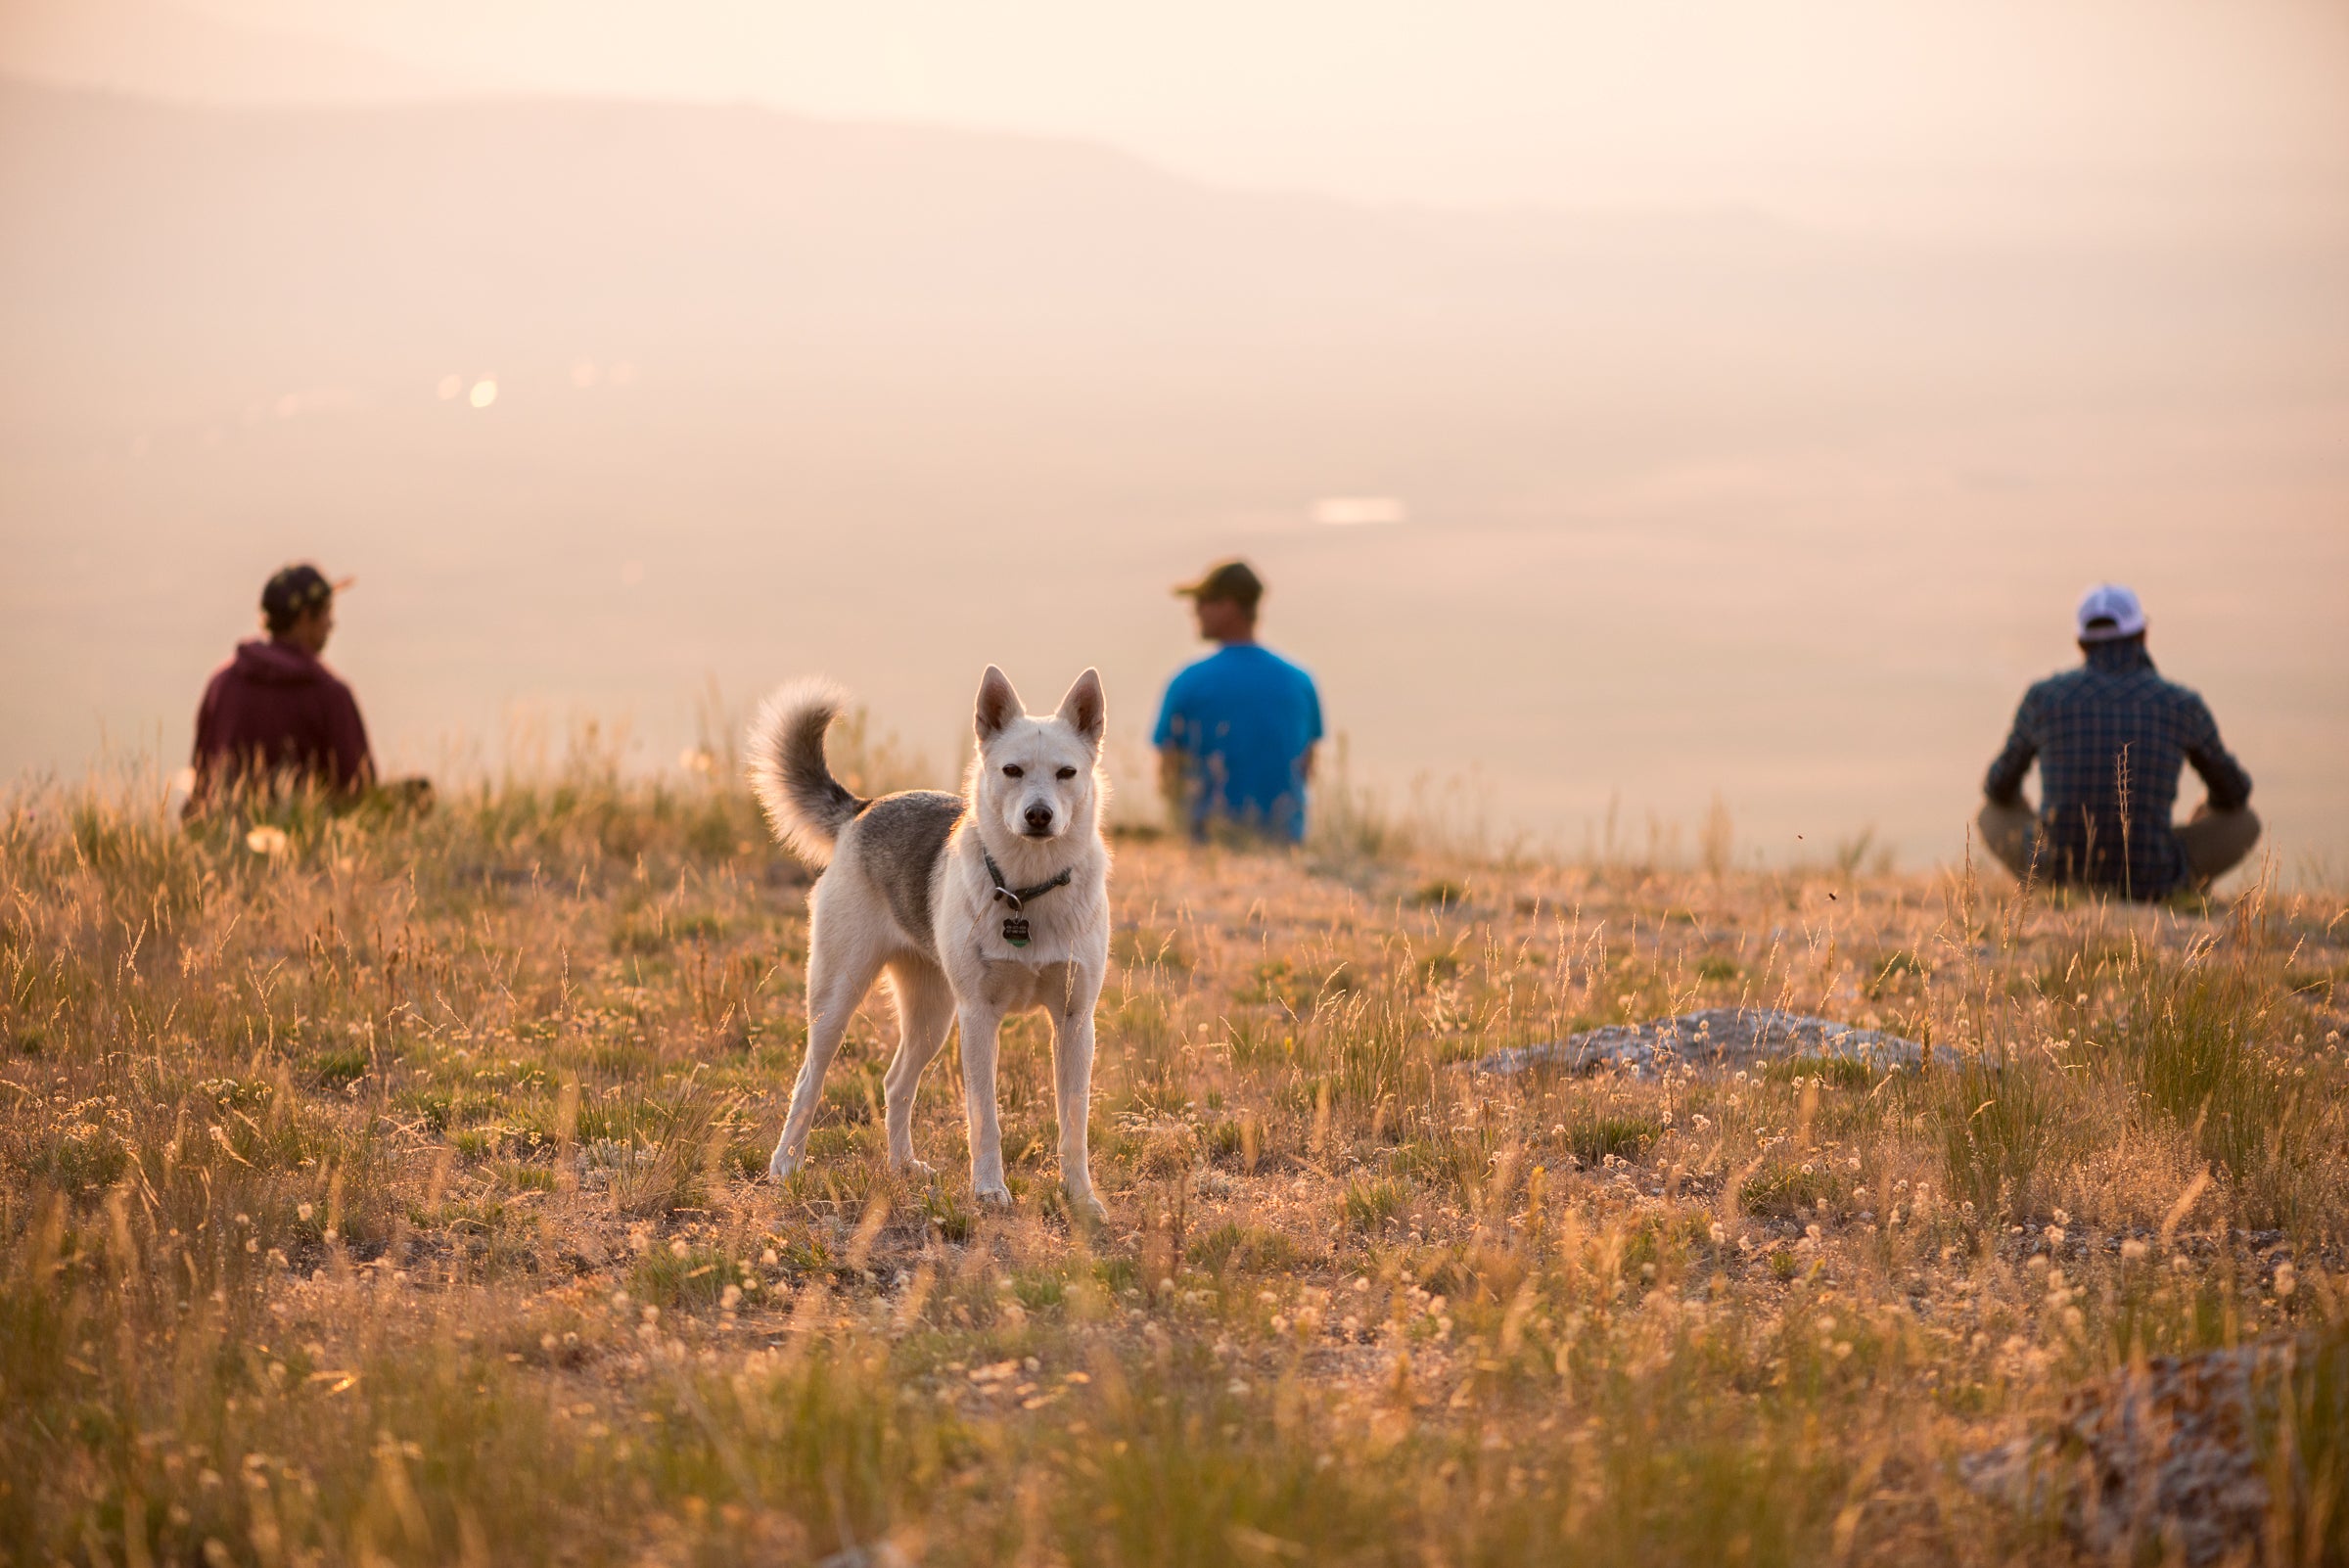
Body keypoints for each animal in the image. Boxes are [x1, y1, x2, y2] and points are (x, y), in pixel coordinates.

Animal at [752, 667, 1118, 1221]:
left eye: (1066, 773)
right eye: (1012, 770)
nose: (1038, 815)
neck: (1026, 893)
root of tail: (865, 808)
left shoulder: (1076, 1022)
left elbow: (1073, 1125)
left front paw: (1080, 1198)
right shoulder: (978, 1018)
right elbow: (984, 1118)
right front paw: (989, 1190)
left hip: (931, 1018)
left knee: (895, 1084)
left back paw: (902, 1165)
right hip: (839, 1001)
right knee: (808, 1082)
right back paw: (786, 1163)